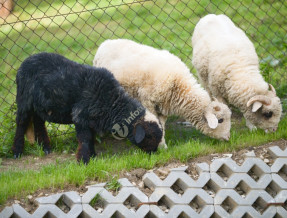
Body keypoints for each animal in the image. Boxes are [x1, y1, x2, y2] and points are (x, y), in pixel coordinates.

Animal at [12, 52, 163, 164]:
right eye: (149, 136)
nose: (154, 153)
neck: (111, 104)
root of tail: (25, 62)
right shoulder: (80, 117)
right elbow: (85, 139)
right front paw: (84, 161)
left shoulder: (92, 121)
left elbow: (91, 139)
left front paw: (93, 157)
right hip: (24, 101)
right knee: (21, 124)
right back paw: (17, 152)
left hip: (40, 107)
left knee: (38, 123)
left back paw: (46, 148)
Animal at [93, 38, 233, 146]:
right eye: (220, 120)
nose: (228, 138)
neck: (179, 84)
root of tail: (104, 44)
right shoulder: (148, 101)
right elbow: (154, 122)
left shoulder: (164, 107)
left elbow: (162, 125)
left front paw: (163, 145)